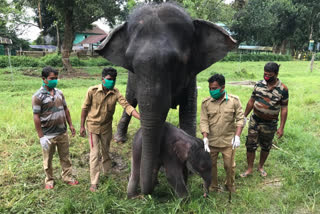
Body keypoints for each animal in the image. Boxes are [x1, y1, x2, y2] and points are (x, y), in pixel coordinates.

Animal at [96, 2, 236, 196]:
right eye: (132, 65)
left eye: (177, 63)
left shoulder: (190, 76)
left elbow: (188, 111)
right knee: (130, 100)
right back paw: (119, 139)